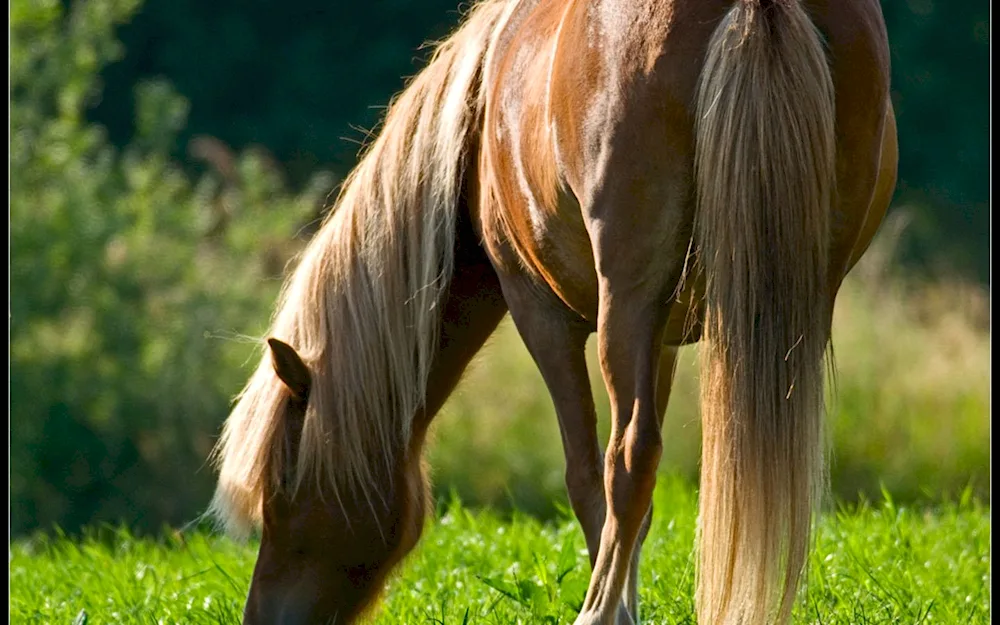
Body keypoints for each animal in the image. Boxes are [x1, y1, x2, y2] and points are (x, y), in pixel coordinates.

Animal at [211, 0, 900, 620]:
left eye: (280, 493)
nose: (261, 617)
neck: (478, 119)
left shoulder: (541, 311)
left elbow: (586, 473)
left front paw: (615, 609)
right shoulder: (664, 336)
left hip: (627, 299)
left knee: (629, 456)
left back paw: (594, 611)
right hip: (791, 301)